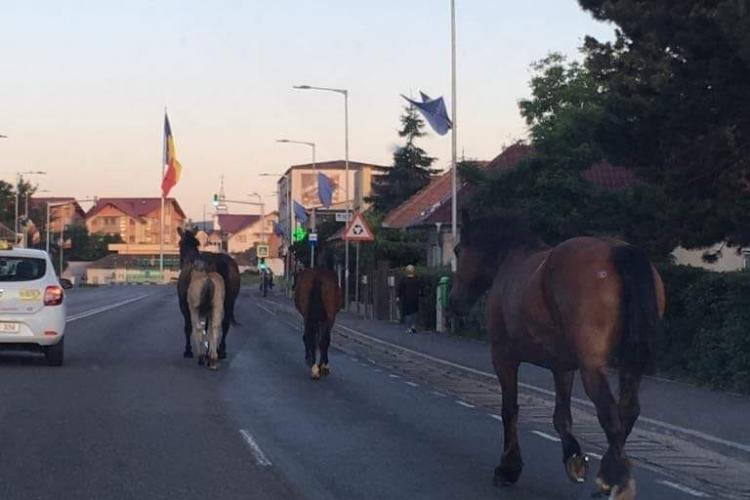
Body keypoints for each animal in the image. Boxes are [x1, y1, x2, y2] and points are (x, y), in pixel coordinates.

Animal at [177, 227, 241, 360]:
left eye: (179, 243)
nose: (180, 261)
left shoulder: (183, 304)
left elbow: (188, 326)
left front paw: (188, 350)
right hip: (229, 300)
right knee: (224, 323)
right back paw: (221, 350)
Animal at [450, 212, 668, 500]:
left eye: (457, 250)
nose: (453, 301)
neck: (511, 259)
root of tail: (618, 251)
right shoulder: (562, 366)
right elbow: (561, 416)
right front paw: (573, 457)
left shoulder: (503, 357)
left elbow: (510, 409)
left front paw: (508, 468)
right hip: (628, 366)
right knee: (627, 413)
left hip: (592, 368)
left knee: (610, 415)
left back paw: (613, 482)